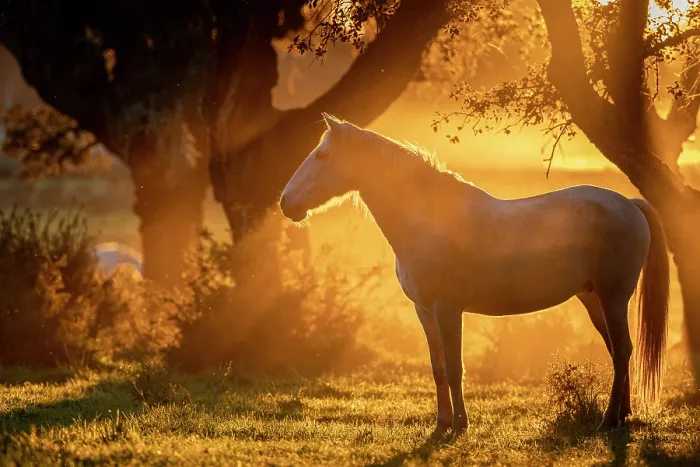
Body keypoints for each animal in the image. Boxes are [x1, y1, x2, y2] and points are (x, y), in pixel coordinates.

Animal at [279, 113, 670, 438]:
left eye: (323, 156)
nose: (286, 203)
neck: (430, 221)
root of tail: (629, 203)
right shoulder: (424, 311)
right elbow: (438, 369)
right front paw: (441, 424)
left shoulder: (448, 309)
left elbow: (455, 368)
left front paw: (460, 425)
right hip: (594, 299)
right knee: (620, 352)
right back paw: (621, 418)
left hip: (613, 297)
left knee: (622, 351)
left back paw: (607, 421)